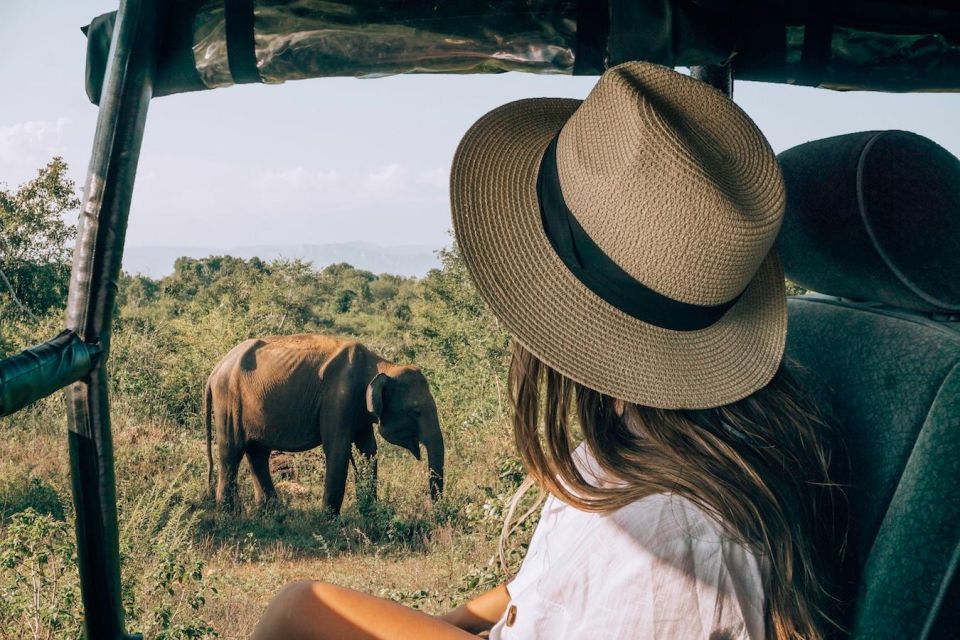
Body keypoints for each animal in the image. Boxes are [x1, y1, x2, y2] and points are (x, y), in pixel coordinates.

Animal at [204, 336, 444, 516]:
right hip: (229, 401)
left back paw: (270, 511)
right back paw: (230, 513)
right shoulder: (338, 399)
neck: (379, 364)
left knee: (257, 453)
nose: (435, 512)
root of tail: (214, 370)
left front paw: (368, 511)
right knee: (232, 452)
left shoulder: (358, 410)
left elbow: (368, 450)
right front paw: (330, 520)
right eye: (416, 411)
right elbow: (338, 449)